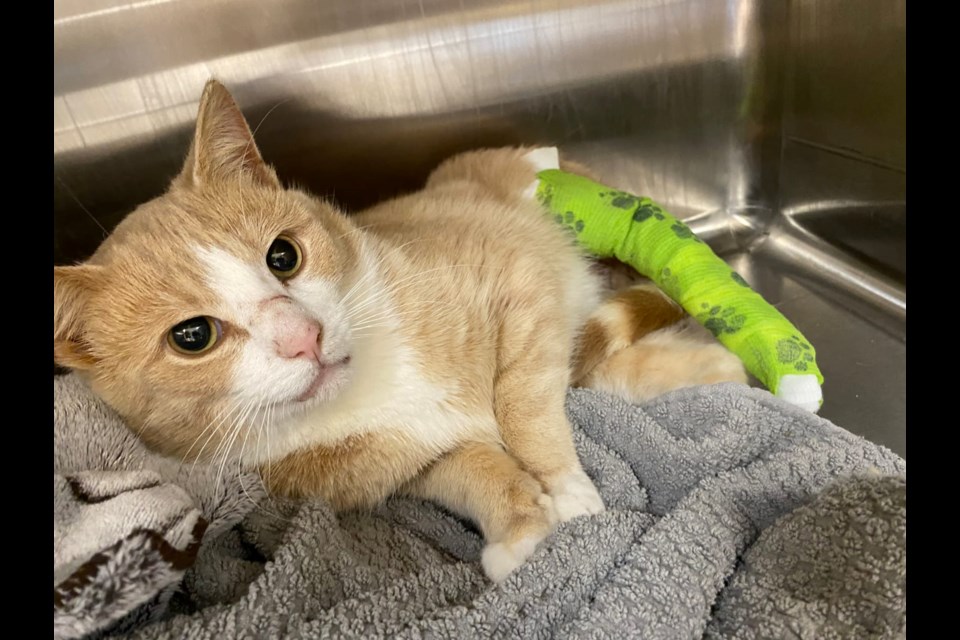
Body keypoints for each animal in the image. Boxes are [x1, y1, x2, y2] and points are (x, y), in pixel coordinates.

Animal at [52, 79, 748, 580]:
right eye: (192, 337)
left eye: (283, 255)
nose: (302, 336)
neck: (377, 386)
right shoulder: (414, 463)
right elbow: (475, 472)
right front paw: (519, 528)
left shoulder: (519, 288)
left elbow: (521, 402)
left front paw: (562, 484)